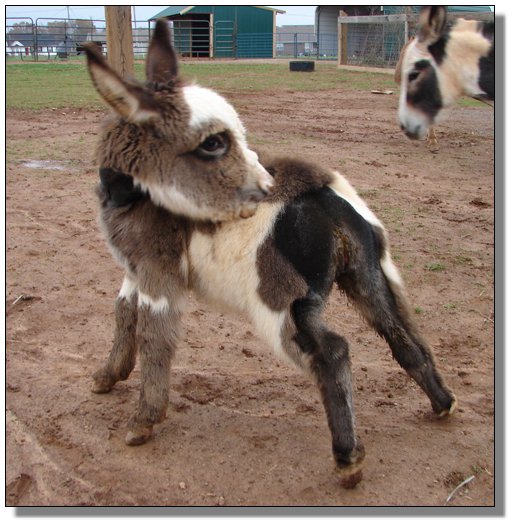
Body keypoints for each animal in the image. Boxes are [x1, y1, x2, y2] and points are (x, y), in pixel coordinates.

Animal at [84, 19, 456, 488]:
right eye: (212, 143)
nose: (262, 187)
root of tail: (332, 206)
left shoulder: (158, 273)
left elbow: (154, 336)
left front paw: (142, 422)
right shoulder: (134, 271)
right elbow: (123, 315)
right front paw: (106, 377)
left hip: (280, 303)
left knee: (332, 352)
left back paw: (348, 459)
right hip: (369, 277)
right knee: (403, 335)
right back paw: (442, 404)